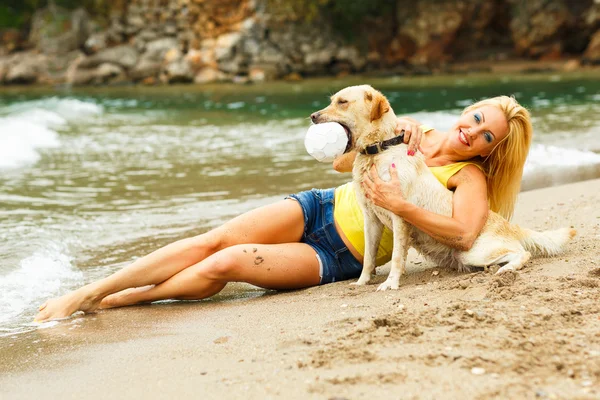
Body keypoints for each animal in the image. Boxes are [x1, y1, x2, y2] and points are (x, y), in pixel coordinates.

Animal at [310, 84, 576, 290]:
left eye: (342, 102)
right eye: (333, 101)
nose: (313, 116)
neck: (380, 149)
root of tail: (508, 224)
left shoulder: (399, 217)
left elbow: (396, 257)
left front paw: (391, 283)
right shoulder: (370, 219)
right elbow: (368, 257)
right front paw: (363, 281)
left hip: (474, 251)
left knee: (523, 252)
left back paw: (506, 269)